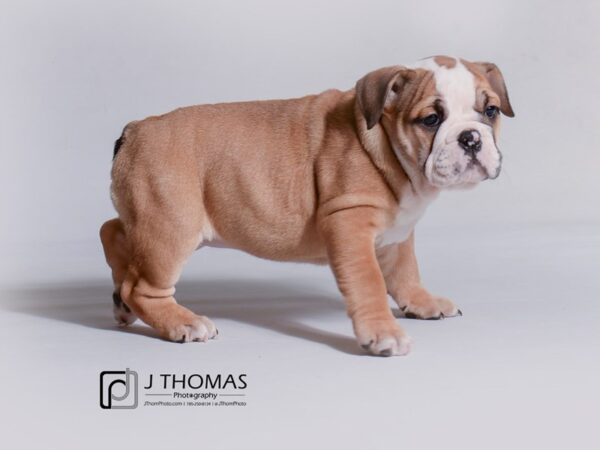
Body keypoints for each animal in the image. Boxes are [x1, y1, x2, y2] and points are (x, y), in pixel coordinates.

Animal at [101, 55, 512, 356]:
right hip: (171, 227)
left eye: (490, 111)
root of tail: (135, 130)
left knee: (113, 231)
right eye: (431, 119)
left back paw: (121, 300)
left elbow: (406, 271)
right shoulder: (349, 223)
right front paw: (383, 332)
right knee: (142, 287)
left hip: (150, 219)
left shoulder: (396, 234)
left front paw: (421, 303)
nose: (471, 138)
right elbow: (370, 282)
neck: (389, 148)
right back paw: (181, 322)